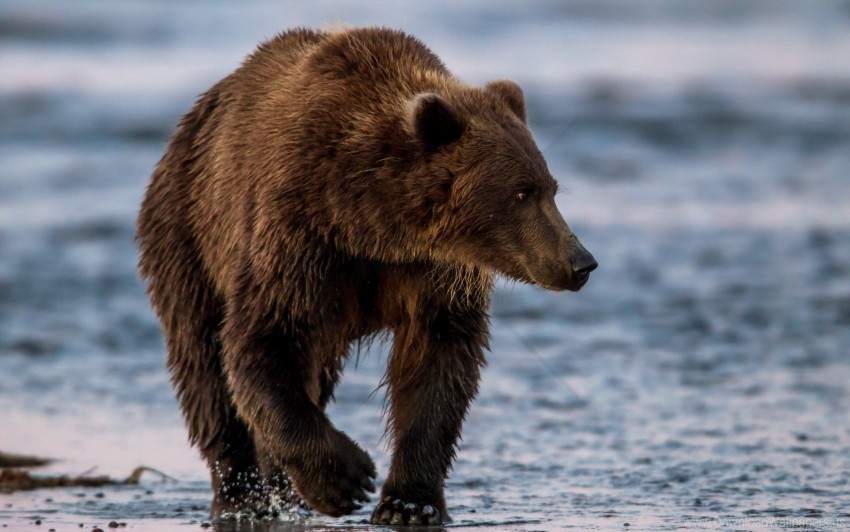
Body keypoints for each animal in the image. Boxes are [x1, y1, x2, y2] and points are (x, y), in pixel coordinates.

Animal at [136, 27, 592, 524]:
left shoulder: (433, 275)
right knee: (204, 366)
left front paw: (410, 503)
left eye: (551, 188)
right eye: (522, 192)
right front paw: (346, 478)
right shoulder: (298, 235)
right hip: (187, 233)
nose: (580, 262)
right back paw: (244, 495)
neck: (375, 223)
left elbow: (437, 367)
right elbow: (263, 339)